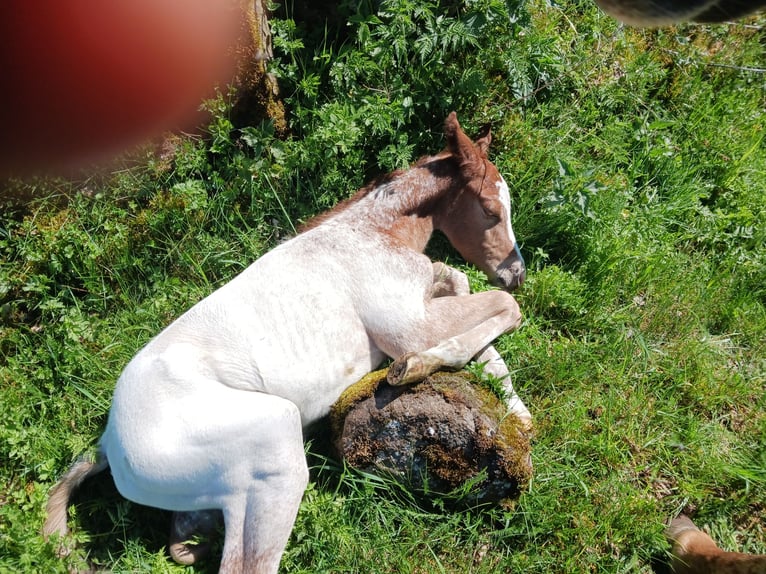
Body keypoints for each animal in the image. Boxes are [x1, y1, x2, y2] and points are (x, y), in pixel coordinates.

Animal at [45, 113, 532, 574]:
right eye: (490, 209)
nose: (517, 273)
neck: (371, 233)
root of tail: (109, 443)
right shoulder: (408, 327)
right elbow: (503, 308)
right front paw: (416, 367)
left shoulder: (426, 300)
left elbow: (465, 288)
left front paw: (516, 412)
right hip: (276, 452)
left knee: (183, 542)